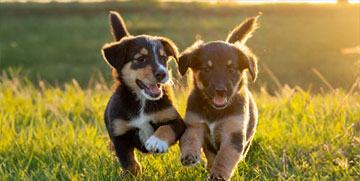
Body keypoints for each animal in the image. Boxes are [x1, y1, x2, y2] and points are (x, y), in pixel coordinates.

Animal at [102, 11, 184, 175]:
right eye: (140, 58)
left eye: (163, 58)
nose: (162, 74)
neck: (142, 101)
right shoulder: (119, 134)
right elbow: (129, 162)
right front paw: (133, 174)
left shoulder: (176, 120)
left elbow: (165, 128)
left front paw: (157, 141)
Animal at [177, 16, 258, 180]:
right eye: (207, 69)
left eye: (231, 69)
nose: (221, 90)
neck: (215, 111)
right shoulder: (194, 124)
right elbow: (190, 139)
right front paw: (189, 156)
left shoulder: (233, 135)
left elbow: (225, 157)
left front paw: (219, 175)